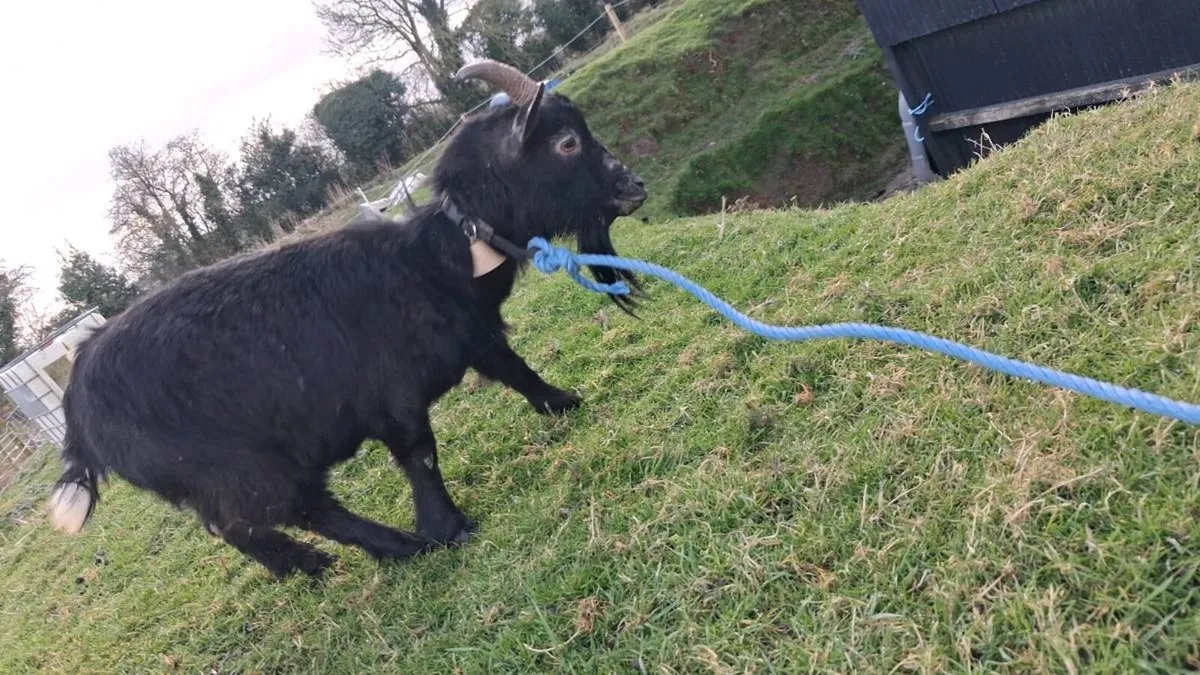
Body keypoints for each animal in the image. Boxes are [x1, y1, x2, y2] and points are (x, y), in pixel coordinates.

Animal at [47, 60, 648, 578]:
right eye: (567, 143)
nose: (634, 187)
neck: (433, 257)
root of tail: (77, 406)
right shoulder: (391, 394)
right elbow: (420, 453)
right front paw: (447, 528)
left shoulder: (473, 334)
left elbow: (514, 368)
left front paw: (564, 402)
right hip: (235, 464)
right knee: (288, 510)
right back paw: (389, 548)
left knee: (238, 525)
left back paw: (305, 565)